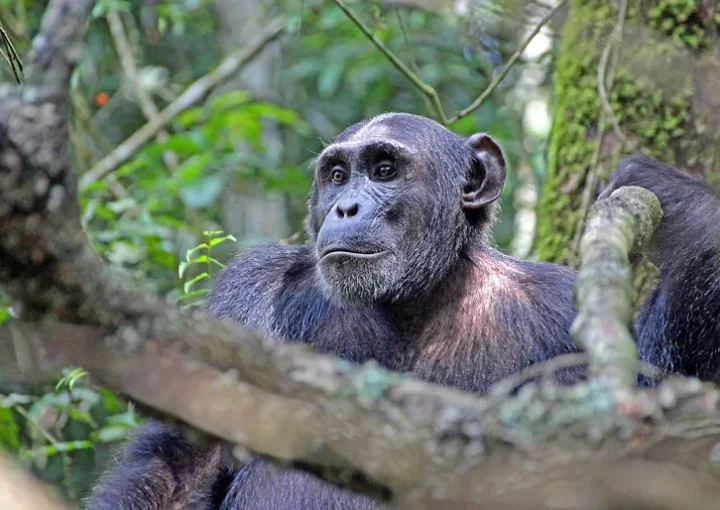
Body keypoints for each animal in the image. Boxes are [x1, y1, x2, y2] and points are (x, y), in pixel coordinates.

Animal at [87, 113, 720, 510]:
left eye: (385, 169)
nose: (344, 206)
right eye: (337, 174)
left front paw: (686, 207)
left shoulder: (565, 315)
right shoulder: (246, 300)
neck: (413, 299)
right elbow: (184, 464)